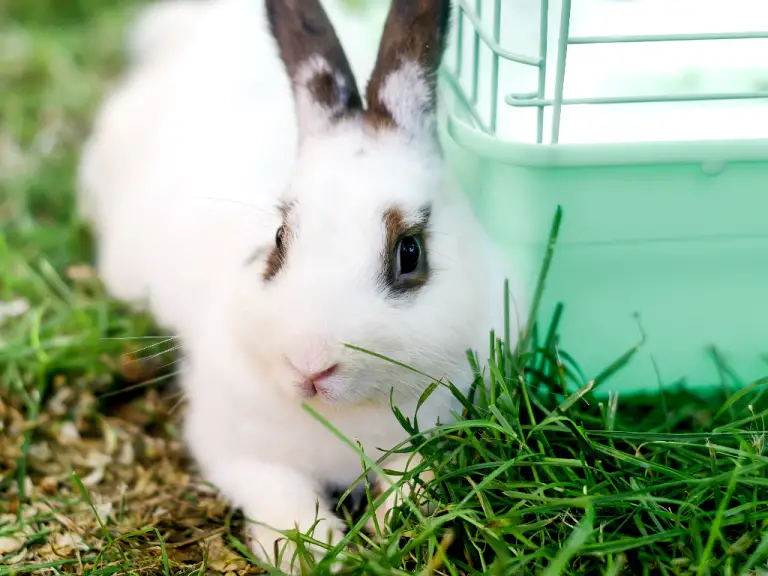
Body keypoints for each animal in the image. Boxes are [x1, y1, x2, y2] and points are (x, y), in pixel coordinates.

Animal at [78, 0, 520, 572]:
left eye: (410, 252)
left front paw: (392, 527)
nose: (311, 364)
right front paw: (312, 553)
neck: (343, 414)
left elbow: (413, 477)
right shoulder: (239, 451)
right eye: (279, 238)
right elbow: (281, 495)